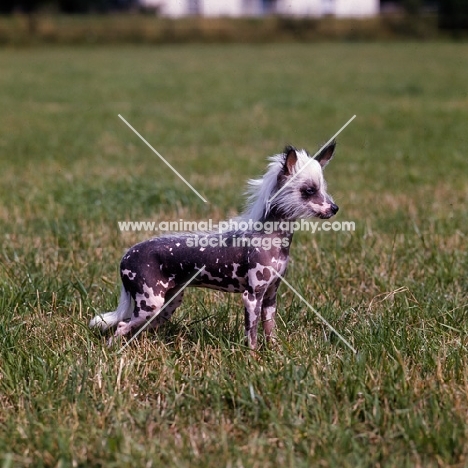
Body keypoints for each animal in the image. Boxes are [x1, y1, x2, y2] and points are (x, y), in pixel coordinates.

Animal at [90, 141, 340, 350]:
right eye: (309, 191)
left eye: (324, 189)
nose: (335, 208)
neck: (271, 237)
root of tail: (126, 255)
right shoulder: (251, 297)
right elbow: (252, 335)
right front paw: (253, 359)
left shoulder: (270, 297)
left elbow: (270, 330)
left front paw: (275, 354)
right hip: (150, 304)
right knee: (121, 326)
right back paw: (112, 351)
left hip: (167, 305)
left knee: (134, 327)